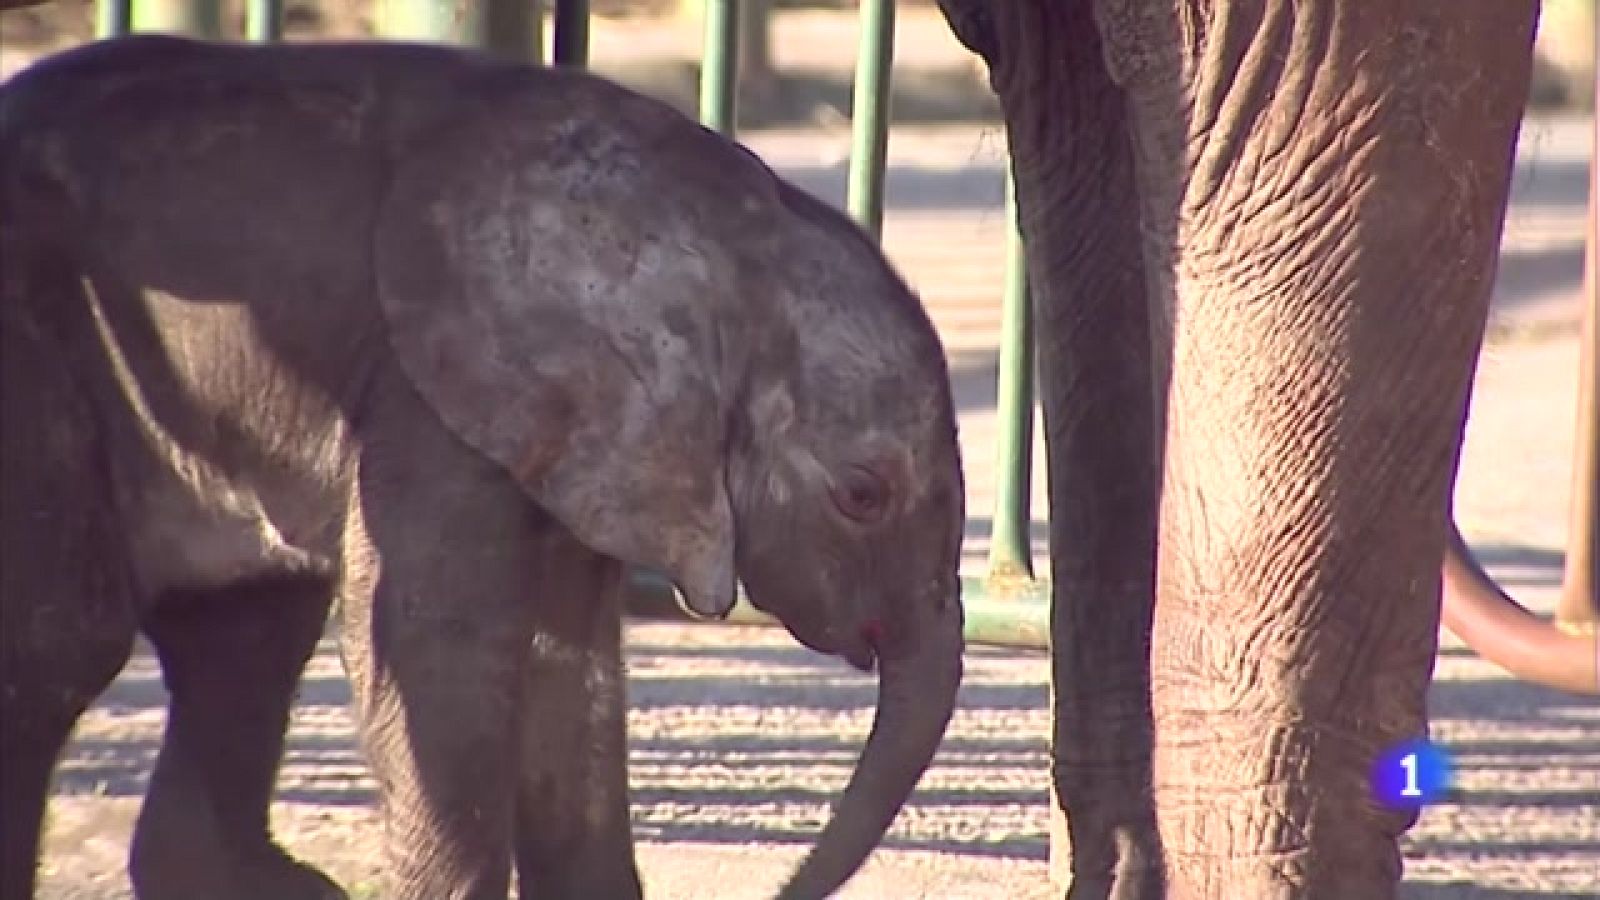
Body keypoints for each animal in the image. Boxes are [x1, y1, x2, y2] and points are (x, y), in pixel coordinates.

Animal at [0, 35, 966, 900]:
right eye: (862, 495)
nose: (781, 889)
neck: (726, 220)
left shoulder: (599, 437)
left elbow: (568, 667)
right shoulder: (427, 391)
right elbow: (434, 643)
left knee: (244, 628)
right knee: (65, 646)